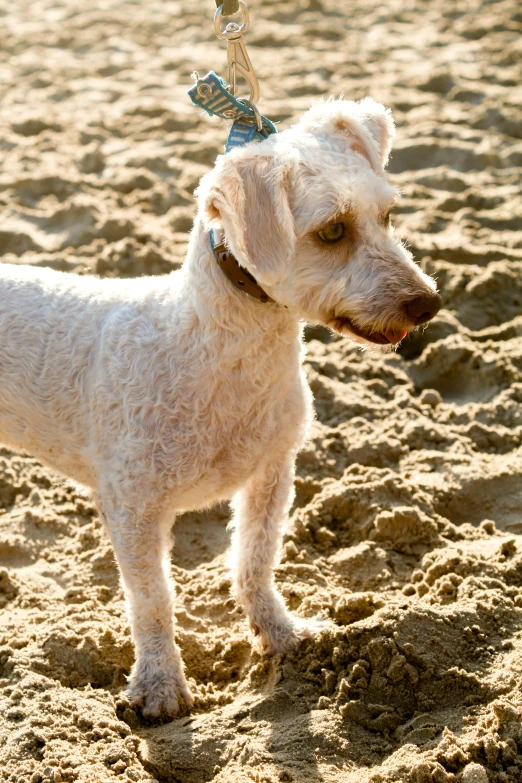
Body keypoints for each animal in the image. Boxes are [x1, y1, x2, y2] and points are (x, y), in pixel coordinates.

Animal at [0, 101, 438, 720]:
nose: (429, 304)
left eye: (389, 215)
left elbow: (255, 560)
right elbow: (153, 600)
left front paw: (282, 636)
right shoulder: (132, 504)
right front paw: (160, 685)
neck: (213, 347)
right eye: (332, 230)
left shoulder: (272, 470)